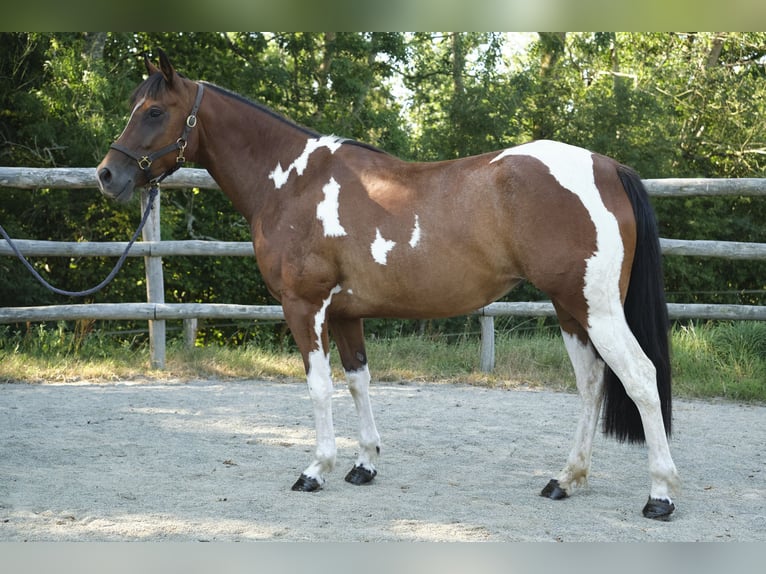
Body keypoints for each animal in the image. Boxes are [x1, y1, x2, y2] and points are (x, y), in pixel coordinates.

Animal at [96, 50, 680, 520]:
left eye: (154, 111)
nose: (106, 175)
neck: (291, 182)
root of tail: (607, 167)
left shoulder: (304, 306)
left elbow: (318, 386)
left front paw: (316, 469)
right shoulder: (345, 313)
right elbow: (358, 381)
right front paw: (364, 464)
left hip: (595, 307)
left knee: (639, 378)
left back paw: (660, 495)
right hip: (569, 308)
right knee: (592, 384)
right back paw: (566, 480)